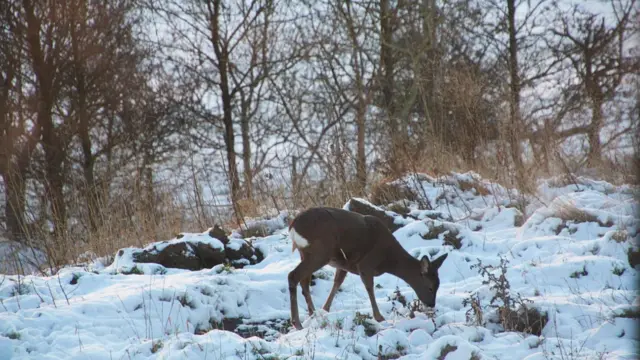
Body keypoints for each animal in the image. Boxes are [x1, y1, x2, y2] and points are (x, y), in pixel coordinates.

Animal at [288, 207, 448, 330]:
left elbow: (337, 283)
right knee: (293, 275)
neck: (387, 258)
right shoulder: (366, 264)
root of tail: (293, 225)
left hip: (306, 253)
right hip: (320, 252)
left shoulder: (344, 264)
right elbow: (369, 287)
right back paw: (297, 323)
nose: (431, 304)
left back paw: (312, 313)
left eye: (439, 284)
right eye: (430, 287)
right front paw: (379, 317)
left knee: (304, 281)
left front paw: (325, 310)